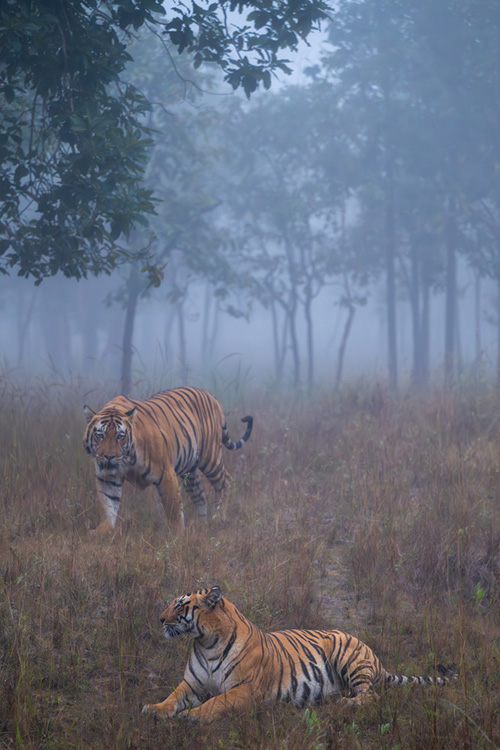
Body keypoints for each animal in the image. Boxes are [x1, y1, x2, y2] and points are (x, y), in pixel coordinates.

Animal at [83, 387, 253, 534]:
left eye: (120, 436)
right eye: (100, 435)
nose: (109, 456)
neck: (127, 459)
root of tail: (212, 396)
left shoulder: (165, 473)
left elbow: (173, 508)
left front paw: (178, 535)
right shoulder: (107, 477)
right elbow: (107, 504)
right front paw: (102, 531)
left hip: (210, 457)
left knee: (225, 481)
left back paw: (218, 518)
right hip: (190, 469)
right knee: (200, 496)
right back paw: (202, 525)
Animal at [142, 585, 456, 723]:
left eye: (180, 605)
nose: (159, 619)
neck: (206, 643)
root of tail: (376, 659)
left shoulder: (246, 690)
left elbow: (216, 702)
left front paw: (193, 716)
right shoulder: (192, 684)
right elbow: (172, 698)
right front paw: (153, 709)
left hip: (345, 654)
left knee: (371, 695)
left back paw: (343, 704)